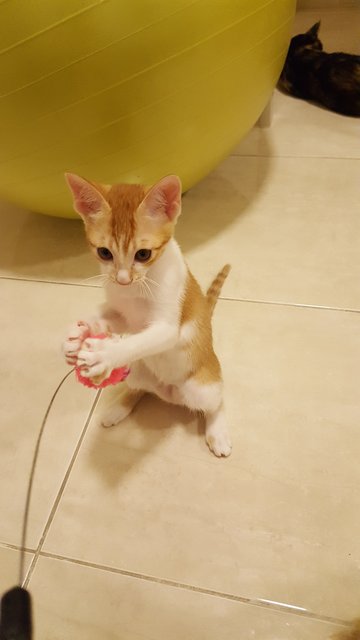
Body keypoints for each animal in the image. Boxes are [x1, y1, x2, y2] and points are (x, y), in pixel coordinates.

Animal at [63, 172, 232, 458]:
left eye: (143, 254)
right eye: (104, 252)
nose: (122, 280)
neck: (136, 289)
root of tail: (169, 393)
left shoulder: (168, 325)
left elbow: (139, 340)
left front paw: (106, 354)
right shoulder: (122, 313)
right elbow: (111, 318)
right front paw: (77, 334)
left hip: (202, 387)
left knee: (215, 403)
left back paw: (217, 432)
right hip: (139, 370)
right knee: (140, 389)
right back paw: (118, 407)